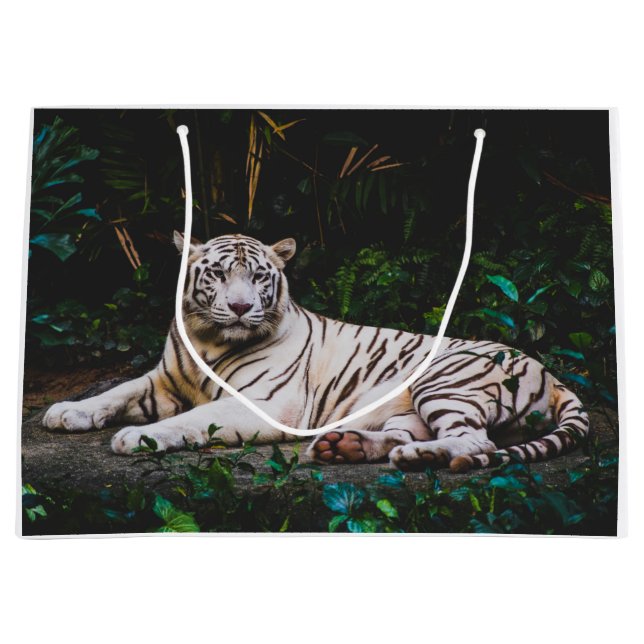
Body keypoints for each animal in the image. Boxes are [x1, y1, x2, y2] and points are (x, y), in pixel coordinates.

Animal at [43, 232, 590, 472]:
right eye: (218, 274)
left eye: (258, 277)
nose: (240, 307)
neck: (208, 338)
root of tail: (553, 375)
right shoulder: (162, 381)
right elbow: (115, 391)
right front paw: (67, 412)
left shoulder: (263, 404)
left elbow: (189, 420)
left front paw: (137, 437)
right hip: (408, 408)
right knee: (412, 434)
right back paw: (345, 447)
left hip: (446, 380)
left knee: (476, 442)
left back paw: (420, 456)